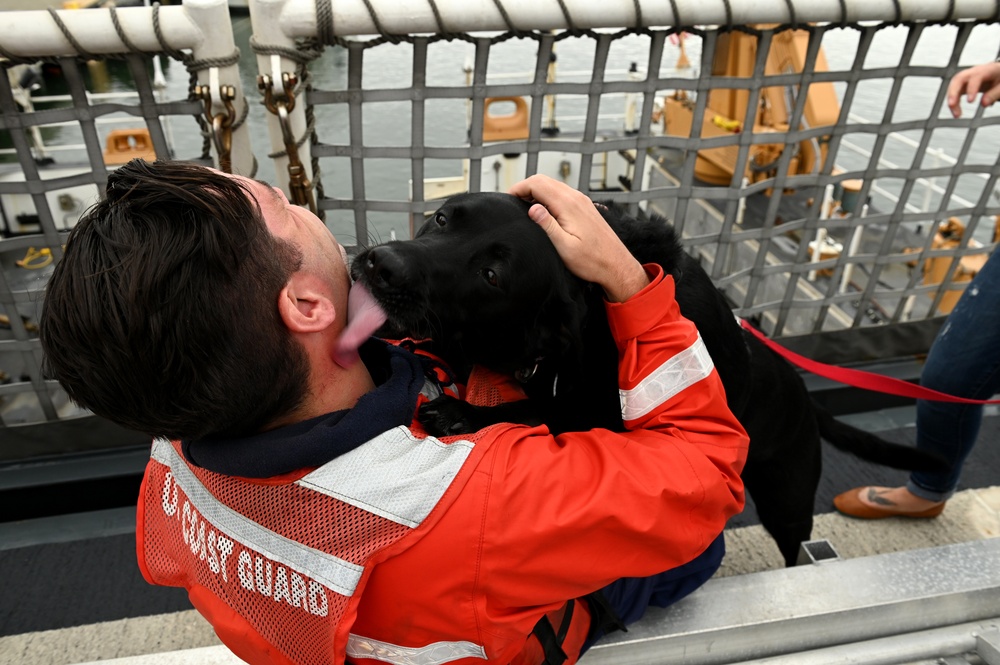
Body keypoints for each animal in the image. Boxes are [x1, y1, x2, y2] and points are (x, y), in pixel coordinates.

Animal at [354, 191, 944, 564]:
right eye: (442, 219)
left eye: (492, 275)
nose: (381, 265)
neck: (594, 304)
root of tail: (804, 395)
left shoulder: (608, 425)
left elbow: (541, 408)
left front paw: (462, 412)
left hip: (788, 502)